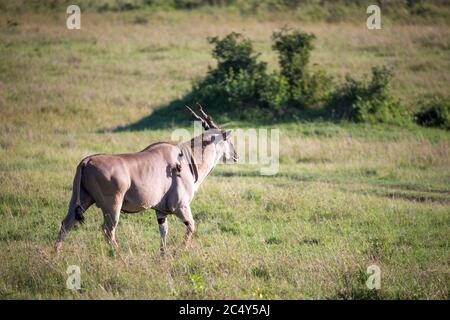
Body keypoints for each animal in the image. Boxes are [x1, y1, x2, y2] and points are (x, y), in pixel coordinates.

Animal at [54, 106, 237, 254]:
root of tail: (87, 161)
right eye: (228, 140)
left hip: (82, 200)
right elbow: (191, 226)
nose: (236, 156)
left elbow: (163, 231)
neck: (185, 158)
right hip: (112, 207)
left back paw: (57, 254)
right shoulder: (181, 206)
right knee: (108, 230)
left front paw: (163, 255)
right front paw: (180, 251)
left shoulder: (161, 211)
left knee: (66, 224)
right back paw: (121, 257)